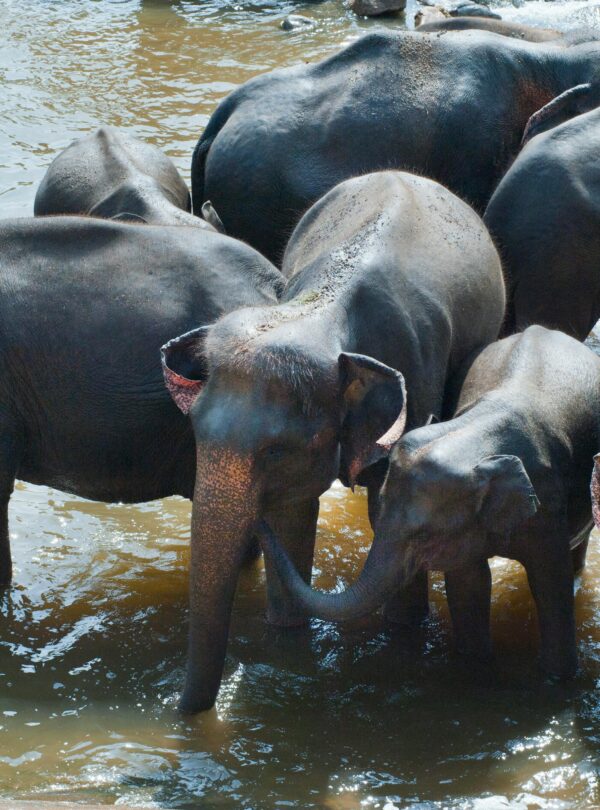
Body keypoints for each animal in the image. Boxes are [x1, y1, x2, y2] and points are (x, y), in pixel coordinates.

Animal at [161, 170, 505, 713]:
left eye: (275, 450)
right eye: (195, 431)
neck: (320, 312)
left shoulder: (415, 376)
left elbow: (385, 507)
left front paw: (403, 633)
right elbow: (294, 514)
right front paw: (286, 638)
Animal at [261, 326, 600, 680]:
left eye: (424, 536)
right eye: (379, 509)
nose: (260, 520)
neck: (474, 431)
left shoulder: (548, 503)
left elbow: (551, 584)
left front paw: (558, 679)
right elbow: (468, 582)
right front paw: (473, 664)